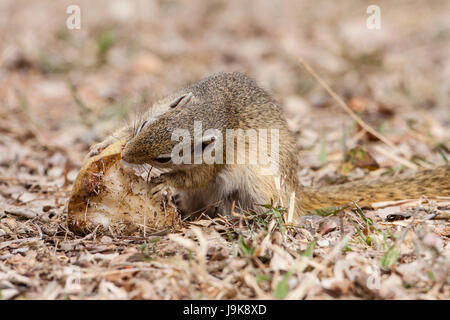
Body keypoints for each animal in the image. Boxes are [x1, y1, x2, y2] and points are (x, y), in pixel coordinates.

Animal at [89, 72, 450, 218]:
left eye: (164, 158)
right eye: (146, 126)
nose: (127, 156)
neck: (218, 111)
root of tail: (296, 188)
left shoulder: (210, 165)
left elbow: (193, 177)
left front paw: (160, 183)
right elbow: (125, 129)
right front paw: (105, 144)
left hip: (261, 186)